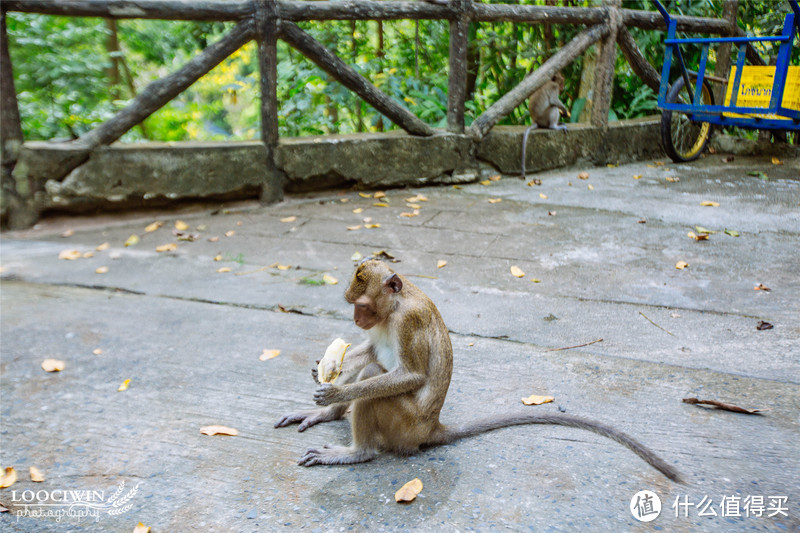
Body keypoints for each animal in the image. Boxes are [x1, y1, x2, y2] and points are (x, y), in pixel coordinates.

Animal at [276, 258, 680, 482]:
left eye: (361, 304)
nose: (356, 318)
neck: (394, 306)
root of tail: (432, 428)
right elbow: (371, 349)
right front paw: (324, 373)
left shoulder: (409, 321)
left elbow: (410, 374)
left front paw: (337, 391)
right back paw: (326, 415)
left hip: (404, 425)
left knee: (372, 378)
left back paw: (356, 452)